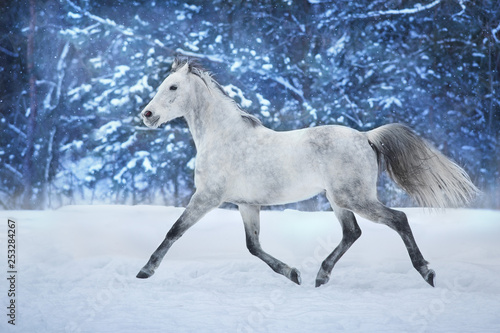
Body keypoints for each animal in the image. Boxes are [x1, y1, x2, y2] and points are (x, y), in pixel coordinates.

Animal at [136, 57, 476, 286]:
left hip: (354, 198)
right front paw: (293, 273)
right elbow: (253, 246)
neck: (224, 137)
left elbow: (174, 231)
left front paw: (145, 271)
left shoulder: (207, 197)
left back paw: (427, 272)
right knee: (352, 232)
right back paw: (321, 276)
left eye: (173, 87)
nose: (147, 115)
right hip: (338, 200)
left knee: (398, 219)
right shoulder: (247, 204)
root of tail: (366, 136)